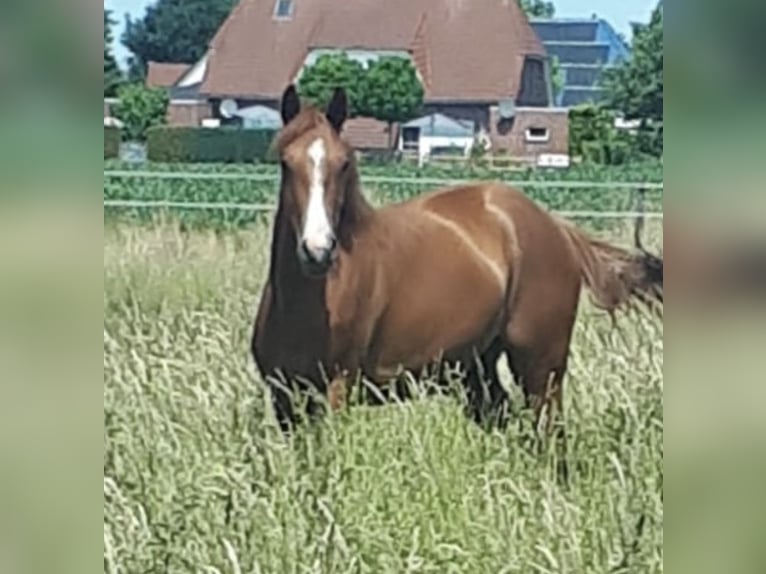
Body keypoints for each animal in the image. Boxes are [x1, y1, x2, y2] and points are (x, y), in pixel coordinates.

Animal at [250, 84, 660, 436]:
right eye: (285, 163)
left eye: (344, 164)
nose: (317, 250)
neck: (308, 303)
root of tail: (557, 228)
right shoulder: (283, 397)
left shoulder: (337, 388)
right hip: (476, 371)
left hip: (542, 365)